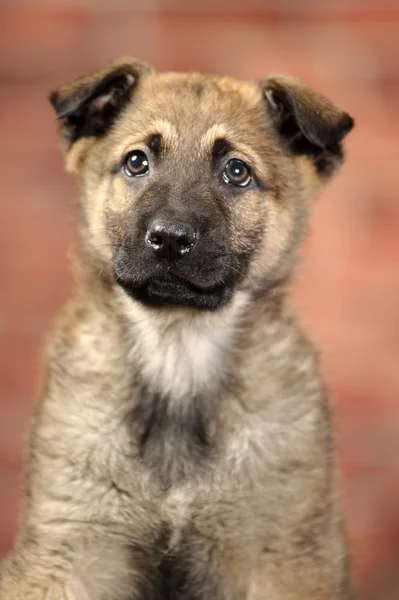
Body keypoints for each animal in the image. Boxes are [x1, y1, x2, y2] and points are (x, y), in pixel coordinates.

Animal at [0, 57, 356, 600]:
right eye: (136, 162)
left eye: (236, 172)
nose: (169, 238)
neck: (177, 352)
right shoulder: (70, 549)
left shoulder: (280, 552)